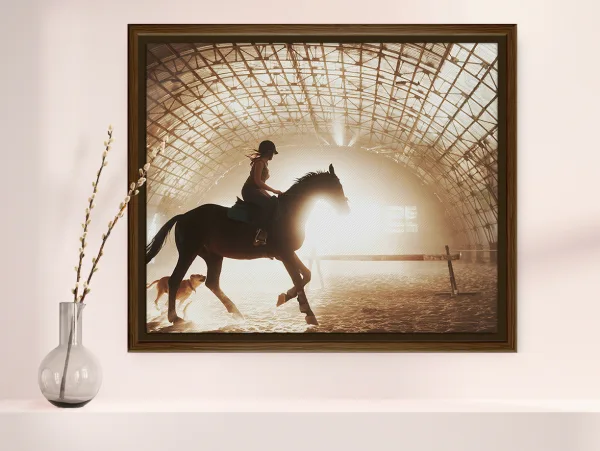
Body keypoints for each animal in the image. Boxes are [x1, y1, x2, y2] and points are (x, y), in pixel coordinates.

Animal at [146, 164, 352, 326]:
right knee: (175, 280)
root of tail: (184, 215)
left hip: (213, 255)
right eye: (336, 186)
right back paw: (175, 318)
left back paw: (236, 313)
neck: (290, 212)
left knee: (212, 283)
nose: (346, 210)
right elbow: (298, 279)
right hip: (189, 252)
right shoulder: (285, 254)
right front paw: (307, 313)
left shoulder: (288, 253)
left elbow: (306, 275)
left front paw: (285, 297)